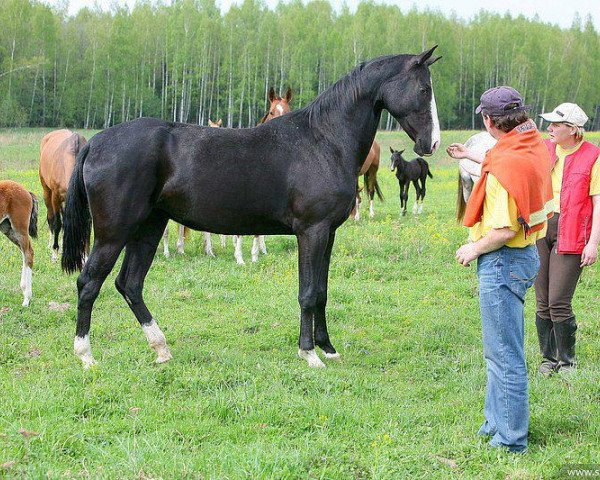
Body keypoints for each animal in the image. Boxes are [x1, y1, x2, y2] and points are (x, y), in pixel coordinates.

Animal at [0, 180, 38, 308]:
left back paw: (27, 298)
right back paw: (23, 287)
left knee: (28, 253)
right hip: (7, 228)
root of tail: (26, 191)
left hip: (20, 227)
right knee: (24, 251)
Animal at [39, 129, 86, 260]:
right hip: (47, 192)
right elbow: (57, 224)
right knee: (51, 217)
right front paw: (55, 252)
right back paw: (50, 245)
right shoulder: (56, 197)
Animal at [63, 47, 442, 370]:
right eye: (424, 89)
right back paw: (86, 356)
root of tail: (96, 142)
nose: (432, 143)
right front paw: (309, 354)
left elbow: (321, 291)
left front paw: (328, 349)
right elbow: (308, 293)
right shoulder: (312, 231)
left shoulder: (328, 233)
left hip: (148, 228)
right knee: (89, 282)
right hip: (114, 233)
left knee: (129, 284)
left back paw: (161, 349)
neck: (324, 141)